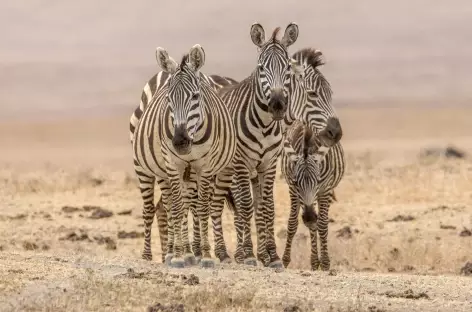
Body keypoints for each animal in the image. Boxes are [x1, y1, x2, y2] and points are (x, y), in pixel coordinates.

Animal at [131, 44, 236, 268]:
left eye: (195, 96)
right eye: (168, 99)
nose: (179, 141)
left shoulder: (204, 166)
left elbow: (201, 207)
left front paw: (204, 255)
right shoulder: (173, 164)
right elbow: (178, 208)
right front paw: (178, 256)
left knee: (177, 204)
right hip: (144, 167)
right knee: (151, 209)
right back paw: (150, 255)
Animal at [278, 119, 344, 270]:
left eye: (318, 181)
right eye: (296, 182)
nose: (308, 217)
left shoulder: (325, 188)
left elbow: (323, 225)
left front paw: (325, 263)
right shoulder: (292, 189)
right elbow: (292, 223)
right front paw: (285, 259)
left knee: (318, 222)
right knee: (313, 225)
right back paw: (314, 261)